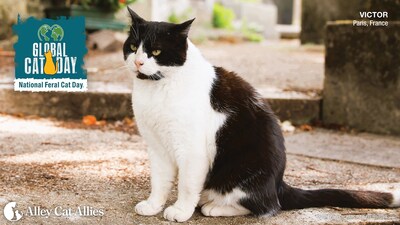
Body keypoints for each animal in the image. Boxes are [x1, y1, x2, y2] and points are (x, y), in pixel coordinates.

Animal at [123, 7, 398, 223]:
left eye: (156, 52)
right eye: (134, 47)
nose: (138, 62)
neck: (158, 88)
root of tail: (278, 184)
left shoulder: (192, 149)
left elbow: (188, 184)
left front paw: (180, 210)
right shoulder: (157, 146)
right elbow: (159, 180)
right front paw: (153, 205)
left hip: (245, 172)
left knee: (267, 206)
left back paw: (214, 207)